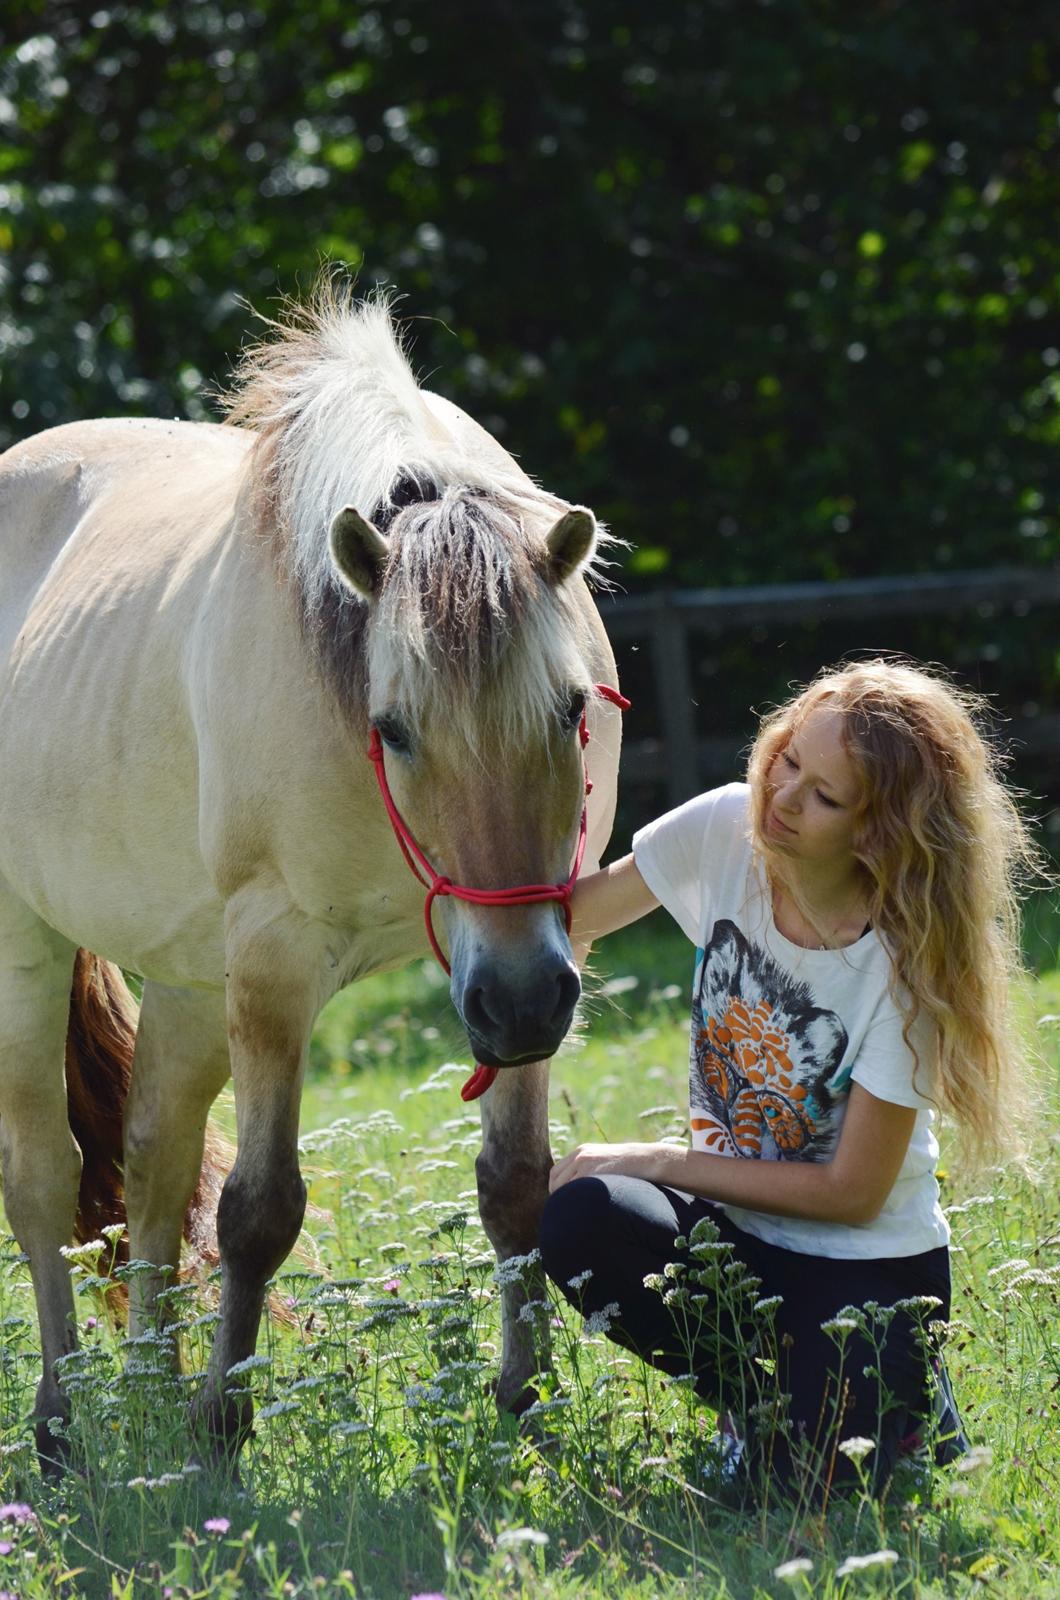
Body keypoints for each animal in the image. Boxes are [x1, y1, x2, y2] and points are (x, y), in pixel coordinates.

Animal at [0, 281, 624, 1465]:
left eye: (570, 708)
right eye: (394, 727)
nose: (521, 999)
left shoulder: (533, 950)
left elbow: (517, 1187)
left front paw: (523, 1402)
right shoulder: (275, 967)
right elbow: (258, 1209)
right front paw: (224, 1422)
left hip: (188, 980)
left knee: (151, 1164)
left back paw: (147, 1391)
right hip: (30, 952)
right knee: (44, 1178)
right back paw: (63, 1425)